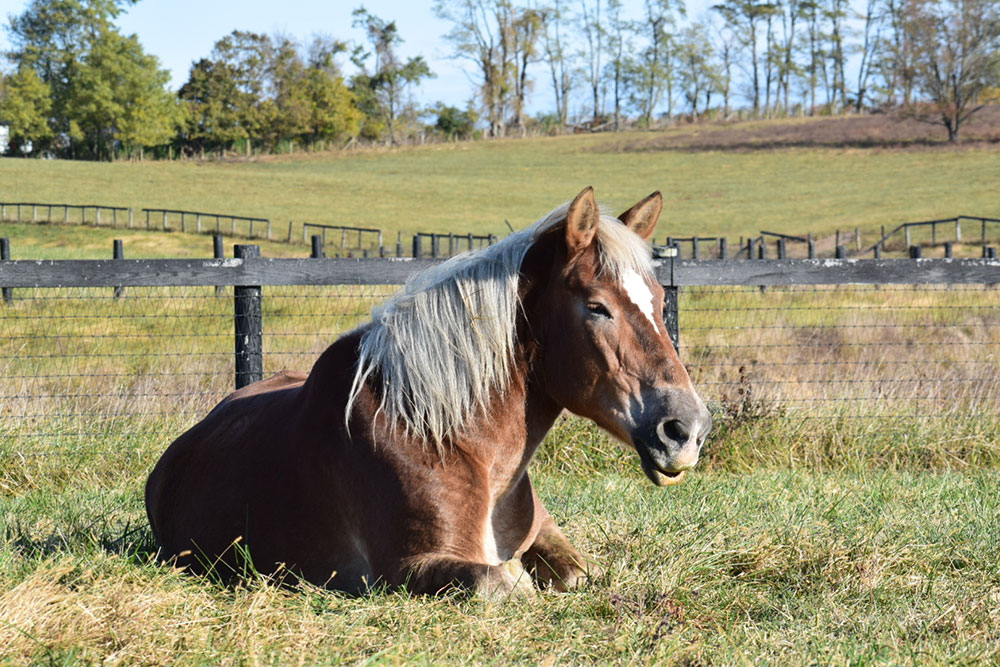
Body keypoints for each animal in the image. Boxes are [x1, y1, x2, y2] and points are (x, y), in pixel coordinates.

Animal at [146, 188, 712, 600]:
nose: (685, 429)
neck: (442, 429)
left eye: (659, 299)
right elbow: (505, 580)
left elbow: (575, 572)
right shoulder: (407, 569)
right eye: (596, 307)